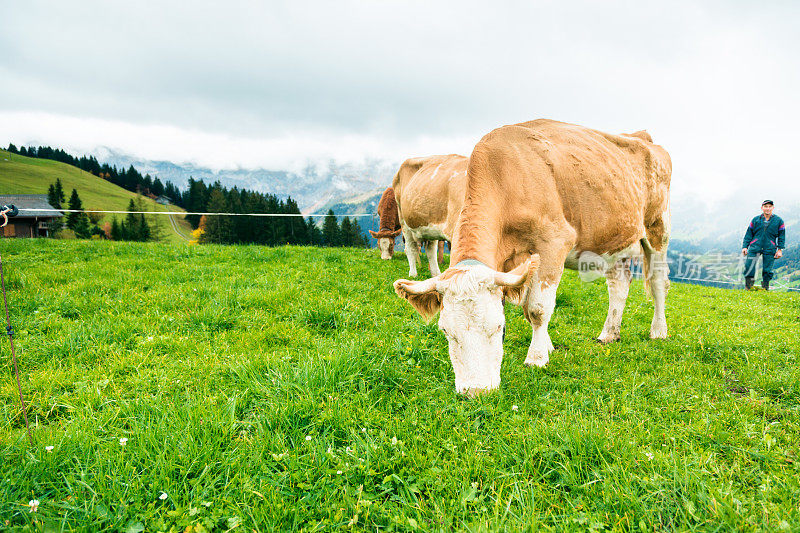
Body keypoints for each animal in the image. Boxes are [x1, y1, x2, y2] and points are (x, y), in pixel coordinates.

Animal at [394, 119, 668, 394]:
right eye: (445, 330)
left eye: (499, 326)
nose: (476, 392)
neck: (506, 179)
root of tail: (642, 137)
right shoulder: (512, 267)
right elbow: (527, 309)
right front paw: (547, 346)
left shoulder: (554, 242)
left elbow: (537, 309)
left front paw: (536, 358)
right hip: (616, 238)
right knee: (619, 285)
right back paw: (609, 334)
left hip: (657, 229)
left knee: (658, 283)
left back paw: (658, 331)